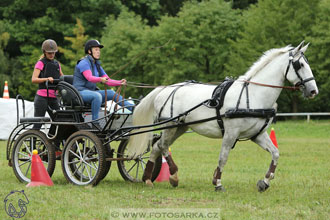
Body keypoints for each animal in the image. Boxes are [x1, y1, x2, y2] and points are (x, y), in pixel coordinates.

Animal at [125, 41, 318, 191]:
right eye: (300, 65)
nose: (313, 91)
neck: (254, 95)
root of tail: (165, 88)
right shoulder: (231, 133)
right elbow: (223, 157)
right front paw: (217, 183)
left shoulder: (258, 134)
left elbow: (275, 153)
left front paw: (265, 182)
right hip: (170, 126)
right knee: (163, 146)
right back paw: (173, 176)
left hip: (180, 127)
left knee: (157, 146)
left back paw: (148, 179)